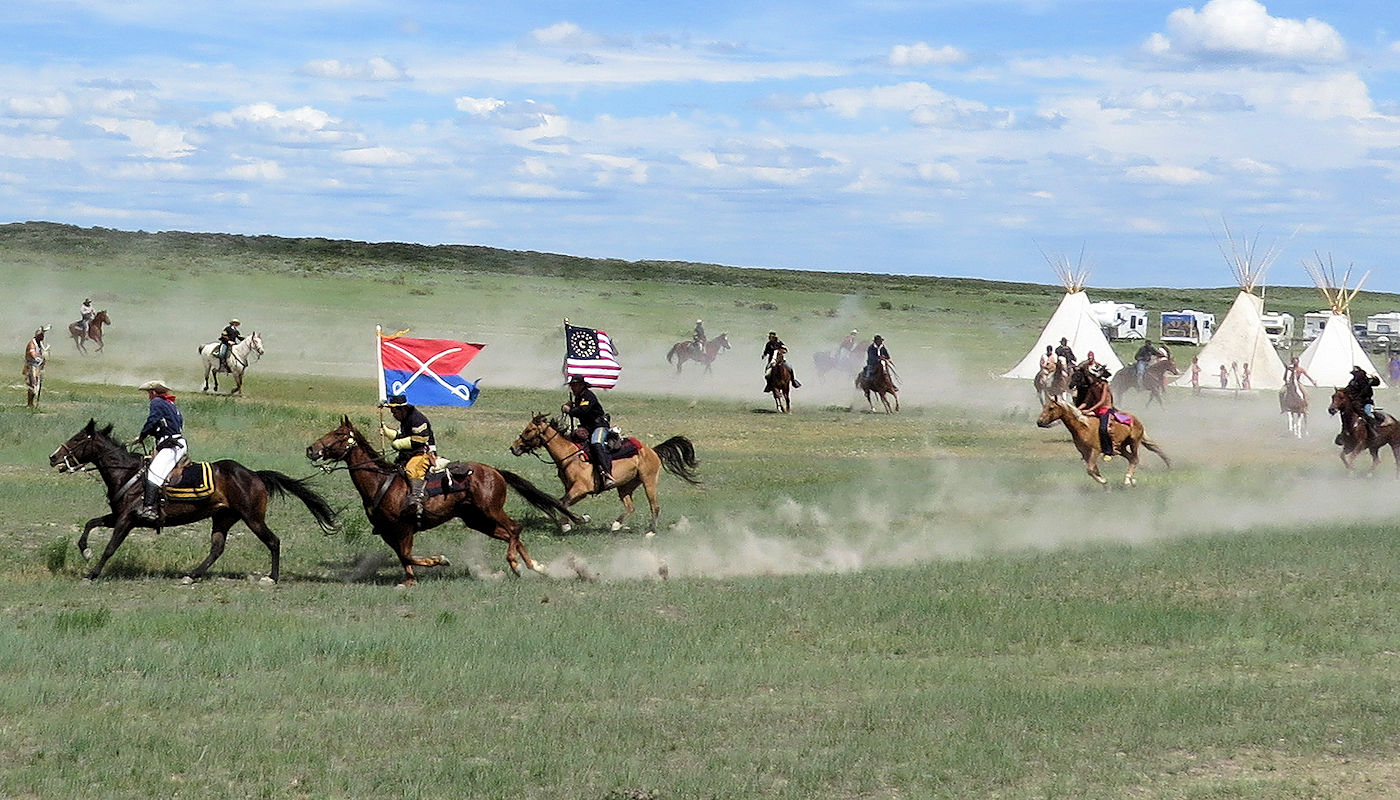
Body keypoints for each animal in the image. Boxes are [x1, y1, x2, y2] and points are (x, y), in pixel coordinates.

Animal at [50, 420, 338, 582]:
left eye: (77, 439)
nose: (53, 458)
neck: (128, 473)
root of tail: (254, 474)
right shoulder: (117, 517)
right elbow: (90, 524)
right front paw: (86, 551)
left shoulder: (126, 520)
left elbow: (110, 548)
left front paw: (92, 574)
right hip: (223, 518)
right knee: (217, 548)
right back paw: (192, 575)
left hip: (253, 518)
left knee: (273, 541)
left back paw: (272, 578)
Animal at [306, 417, 579, 585]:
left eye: (338, 434)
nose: (311, 449)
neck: (381, 482)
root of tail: (495, 471)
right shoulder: (388, 532)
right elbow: (403, 557)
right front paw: (409, 580)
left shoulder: (405, 528)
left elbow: (407, 555)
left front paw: (439, 560)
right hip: (477, 520)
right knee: (510, 534)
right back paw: (535, 566)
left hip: (490, 510)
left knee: (515, 528)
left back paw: (516, 564)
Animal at [509, 411, 700, 538]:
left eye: (528, 430)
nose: (513, 448)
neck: (570, 455)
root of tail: (652, 450)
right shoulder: (577, 491)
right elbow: (562, 503)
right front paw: (571, 522)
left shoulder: (581, 488)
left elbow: (561, 502)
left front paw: (571, 524)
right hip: (625, 486)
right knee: (630, 506)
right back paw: (616, 525)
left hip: (649, 481)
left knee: (655, 506)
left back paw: (651, 532)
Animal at [1041, 397, 1170, 484]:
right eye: (1044, 407)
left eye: (1051, 408)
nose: (1039, 422)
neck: (1083, 426)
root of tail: (1136, 420)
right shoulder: (1085, 453)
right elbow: (1093, 469)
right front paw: (1106, 485)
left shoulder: (1095, 450)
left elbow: (1090, 469)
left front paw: (1103, 481)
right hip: (1121, 447)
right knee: (1131, 458)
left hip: (1134, 442)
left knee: (1135, 459)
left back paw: (1128, 480)